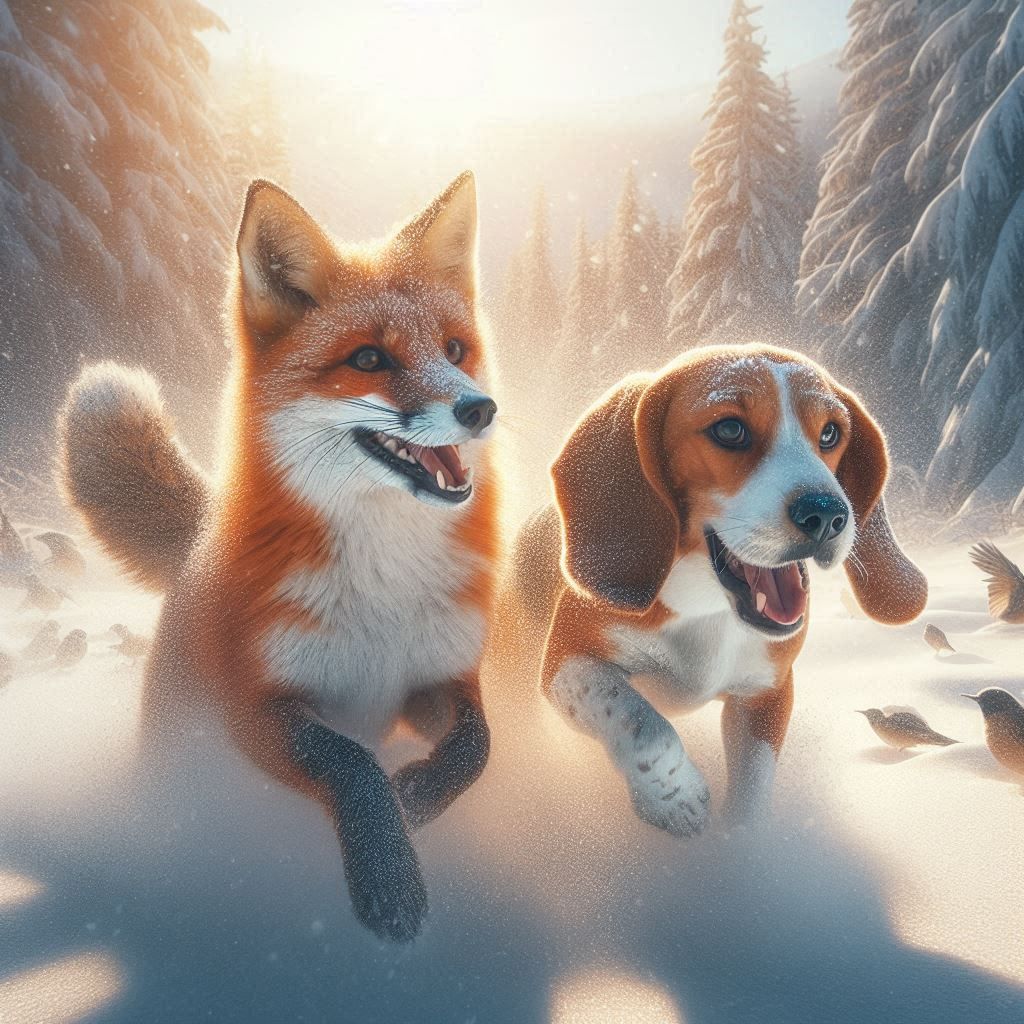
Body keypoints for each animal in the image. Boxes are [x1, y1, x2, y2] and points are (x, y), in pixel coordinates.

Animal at [57, 172, 500, 942]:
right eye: (369, 359)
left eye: (454, 350)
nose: (480, 410)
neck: (382, 591)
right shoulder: (255, 706)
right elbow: (353, 764)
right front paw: (390, 876)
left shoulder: (438, 678)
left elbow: (475, 749)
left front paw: (417, 797)